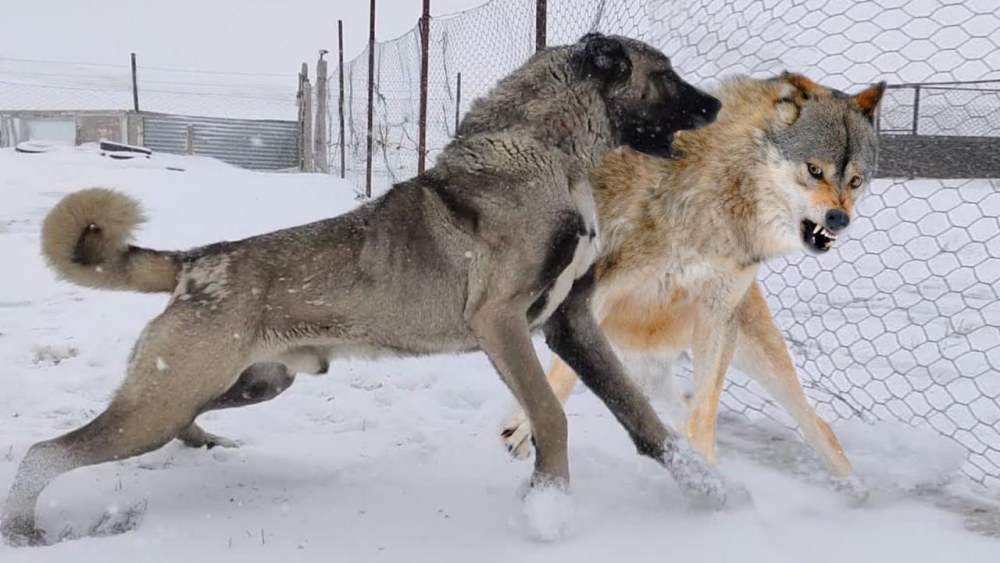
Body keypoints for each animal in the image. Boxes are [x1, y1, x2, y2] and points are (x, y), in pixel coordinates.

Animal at [3, 32, 732, 548]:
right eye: (665, 75)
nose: (718, 105)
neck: (548, 151)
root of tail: (196, 262)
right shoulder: (502, 322)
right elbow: (551, 415)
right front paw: (548, 506)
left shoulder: (569, 323)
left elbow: (642, 415)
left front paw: (709, 487)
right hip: (161, 399)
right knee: (46, 453)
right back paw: (24, 530)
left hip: (246, 383)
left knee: (179, 422)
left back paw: (208, 445)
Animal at [498, 70, 884, 482]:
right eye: (814, 170)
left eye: (856, 181)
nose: (839, 219)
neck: (717, 205)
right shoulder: (596, 297)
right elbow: (560, 376)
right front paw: (523, 428)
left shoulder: (717, 317)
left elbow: (704, 413)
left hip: (745, 354)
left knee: (817, 426)